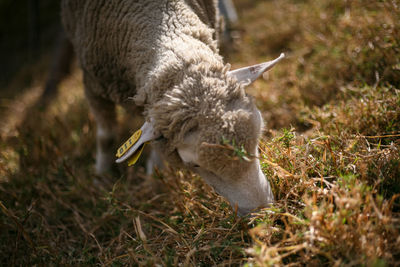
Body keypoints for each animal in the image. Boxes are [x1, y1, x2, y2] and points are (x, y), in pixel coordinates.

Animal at [61, 0, 282, 217]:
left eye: (257, 139)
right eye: (194, 164)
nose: (264, 212)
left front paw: (153, 177)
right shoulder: (93, 83)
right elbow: (106, 137)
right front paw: (101, 179)